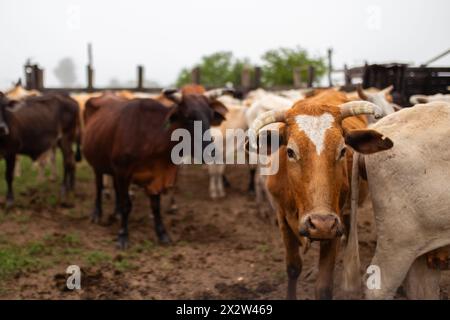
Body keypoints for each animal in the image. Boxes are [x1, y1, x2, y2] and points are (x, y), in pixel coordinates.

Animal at [81, 89, 229, 249]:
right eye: (188, 117)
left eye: (210, 116)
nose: (211, 152)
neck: (151, 137)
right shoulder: (122, 171)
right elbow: (127, 204)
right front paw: (122, 235)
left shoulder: (156, 176)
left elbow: (155, 206)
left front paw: (162, 234)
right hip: (97, 164)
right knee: (99, 186)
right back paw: (97, 213)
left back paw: (117, 212)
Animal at [248, 90, 392, 300]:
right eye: (290, 151)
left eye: (343, 150)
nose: (320, 223)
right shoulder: (282, 218)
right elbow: (293, 268)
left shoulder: (334, 223)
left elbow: (323, 286)